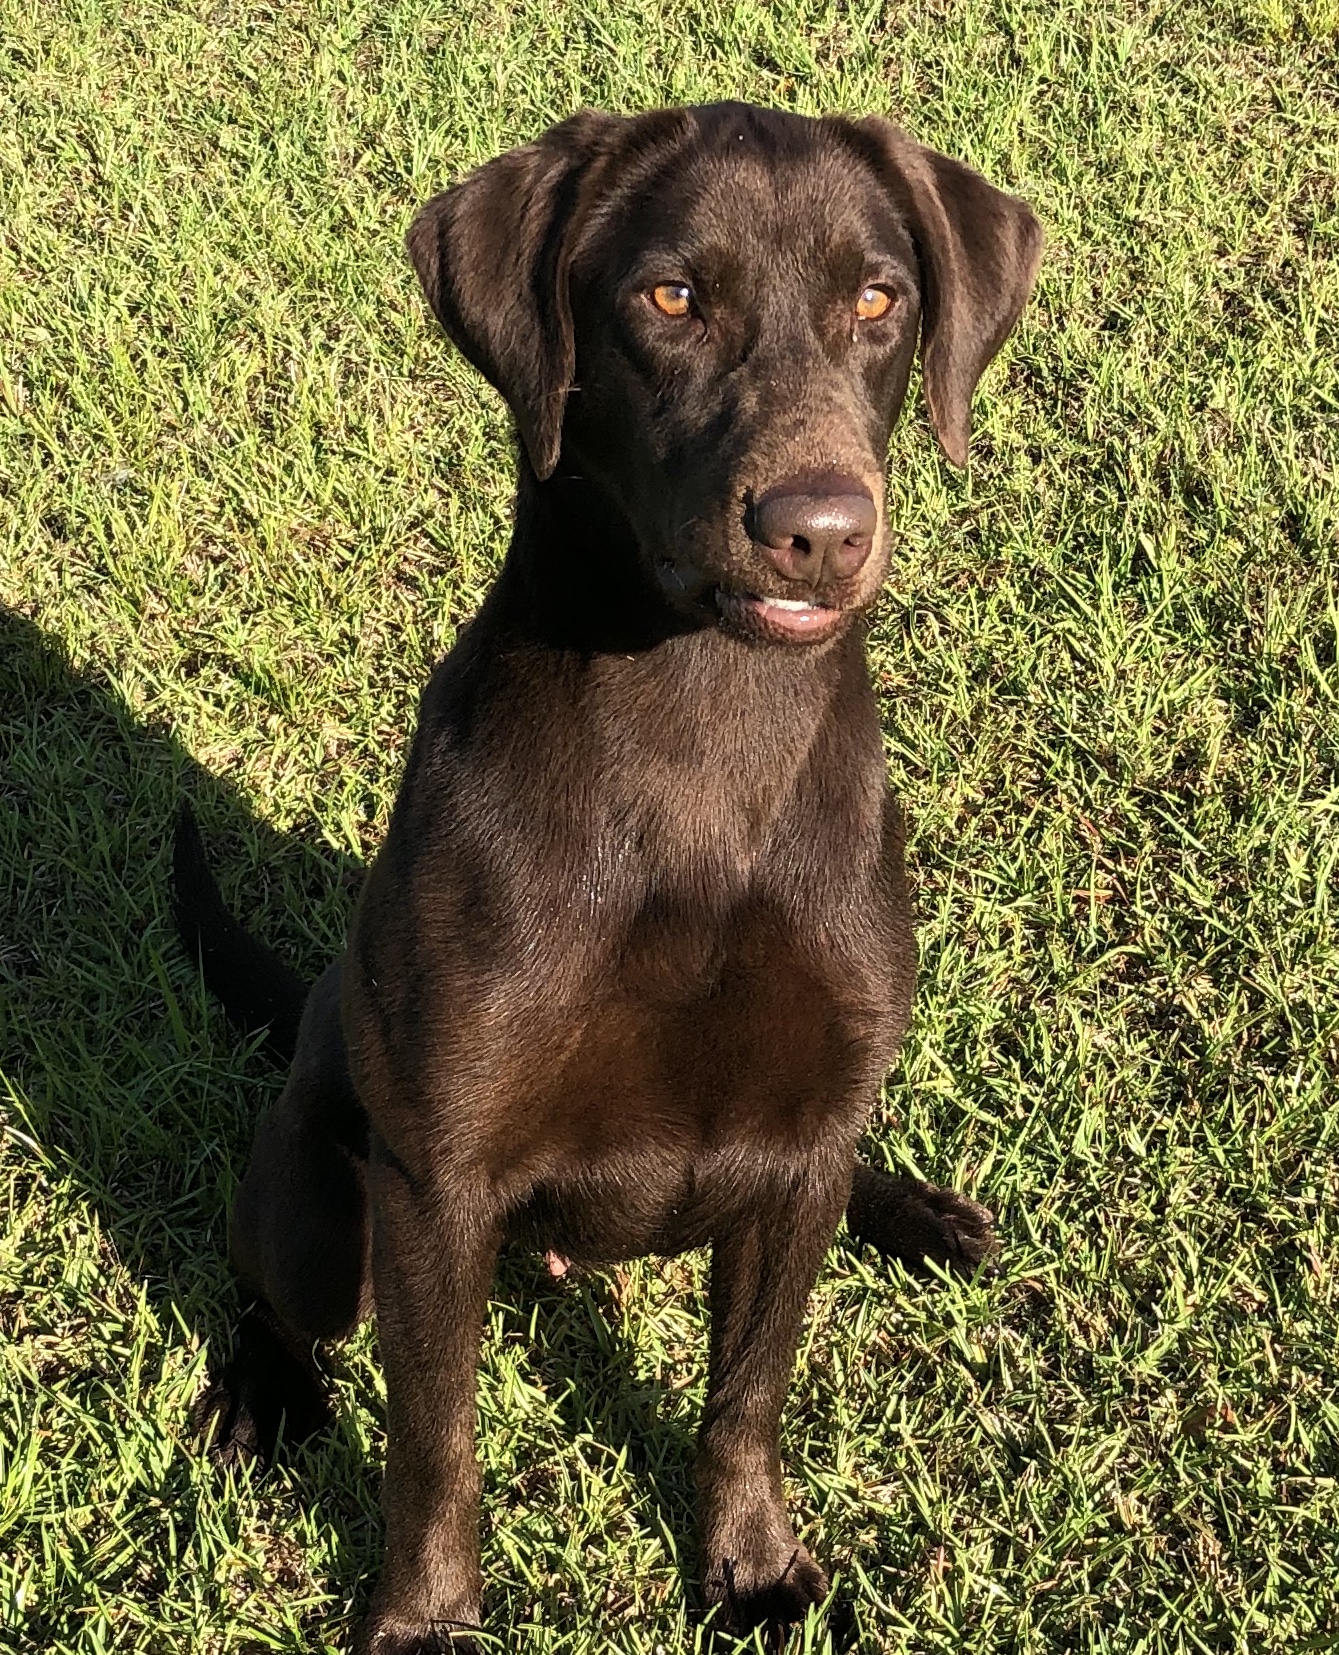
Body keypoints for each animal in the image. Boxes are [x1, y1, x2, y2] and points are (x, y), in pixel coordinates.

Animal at [174, 103, 1032, 1655]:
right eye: (669, 298)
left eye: (878, 300)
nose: (819, 524)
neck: (701, 739)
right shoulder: (438, 1179)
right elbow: (435, 1435)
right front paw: (424, 1617)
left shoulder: (798, 1138)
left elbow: (747, 1389)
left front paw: (750, 1567)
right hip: (321, 1193)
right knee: (278, 1288)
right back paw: (259, 1394)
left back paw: (922, 1212)